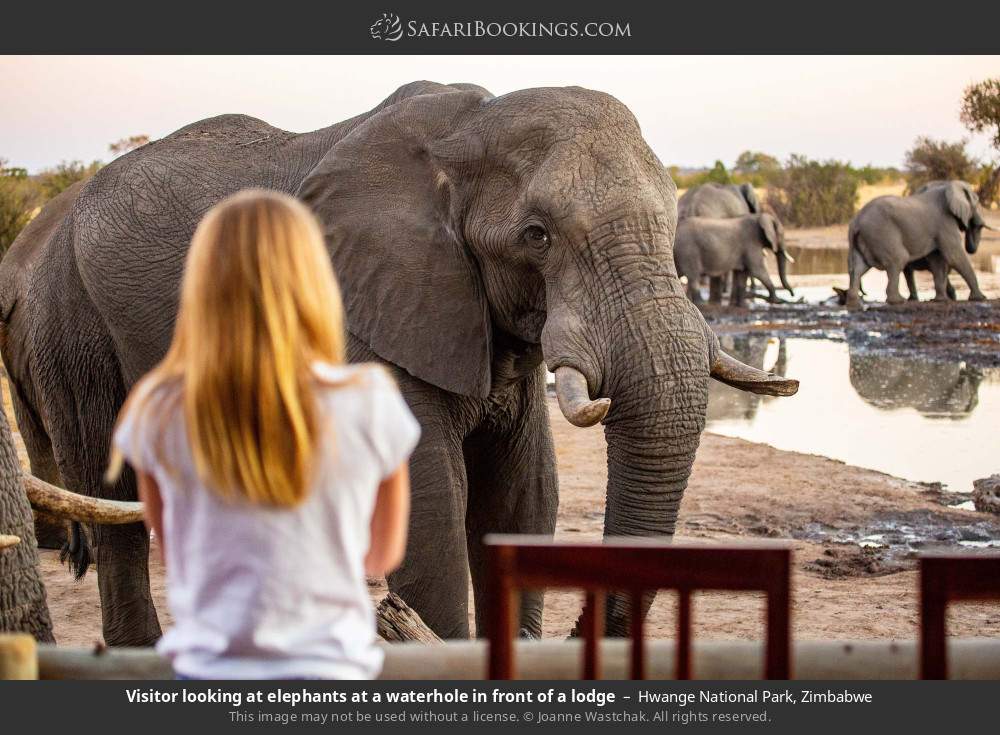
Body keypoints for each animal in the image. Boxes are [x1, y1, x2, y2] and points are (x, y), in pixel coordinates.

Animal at [0, 81, 798, 645]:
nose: (583, 630)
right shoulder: (368, 309)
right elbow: (433, 503)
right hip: (72, 319)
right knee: (109, 480)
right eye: (536, 235)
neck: (465, 130)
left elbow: (519, 494)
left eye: (670, 220)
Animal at [847, 181, 991, 307]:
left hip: (866, 238)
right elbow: (954, 256)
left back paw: (854, 303)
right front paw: (980, 298)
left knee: (859, 267)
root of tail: (857, 220)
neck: (948, 187)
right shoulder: (944, 223)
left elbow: (937, 260)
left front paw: (940, 300)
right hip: (882, 234)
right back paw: (898, 301)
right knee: (898, 259)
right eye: (977, 202)